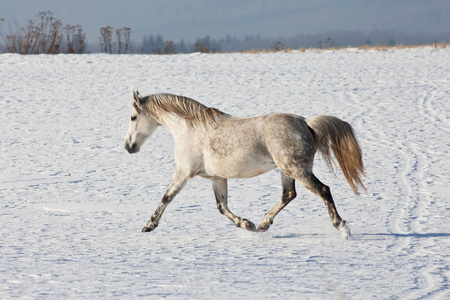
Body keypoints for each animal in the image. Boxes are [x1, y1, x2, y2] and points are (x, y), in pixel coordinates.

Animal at [123, 90, 366, 238]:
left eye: (133, 117)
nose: (128, 146)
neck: (189, 129)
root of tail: (306, 123)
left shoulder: (184, 172)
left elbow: (166, 197)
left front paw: (149, 226)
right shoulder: (217, 177)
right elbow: (222, 207)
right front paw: (247, 224)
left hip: (296, 169)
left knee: (323, 190)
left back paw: (342, 227)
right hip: (287, 170)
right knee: (288, 195)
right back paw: (263, 224)